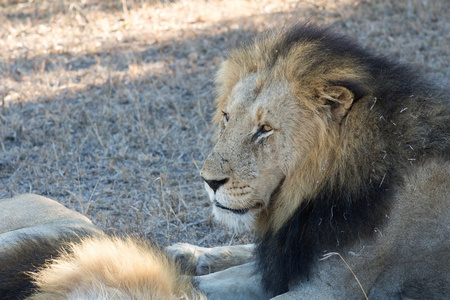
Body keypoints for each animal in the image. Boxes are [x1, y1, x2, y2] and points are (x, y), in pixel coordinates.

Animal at [169, 24, 450, 300]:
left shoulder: (331, 288)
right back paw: (187, 254)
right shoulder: (288, 262)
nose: (209, 182)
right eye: (227, 116)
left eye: (265, 129)